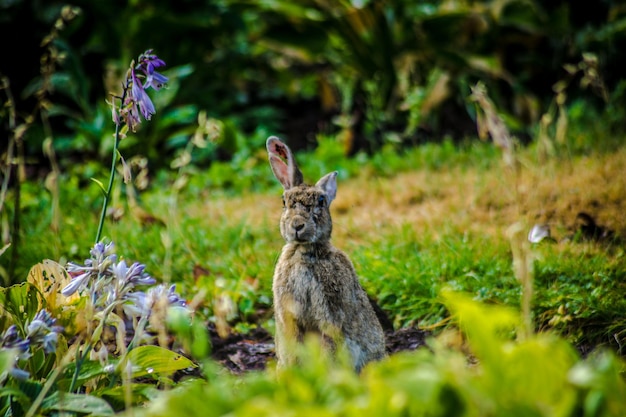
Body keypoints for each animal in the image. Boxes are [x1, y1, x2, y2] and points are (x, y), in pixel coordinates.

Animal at [264, 136, 386, 370]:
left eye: (321, 202)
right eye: (284, 202)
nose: (297, 225)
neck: (304, 251)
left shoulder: (330, 316)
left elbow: (328, 347)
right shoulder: (289, 318)